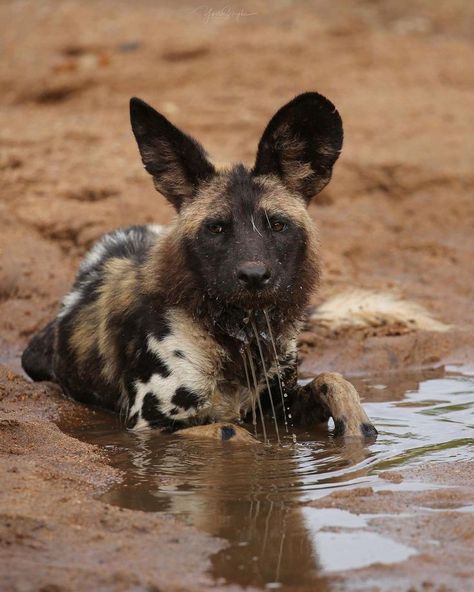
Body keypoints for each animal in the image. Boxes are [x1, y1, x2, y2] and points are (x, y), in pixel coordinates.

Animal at [22, 92, 378, 442]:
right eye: (216, 228)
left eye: (278, 225)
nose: (254, 276)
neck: (239, 336)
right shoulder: (152, 425)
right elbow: (232, 431)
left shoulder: (278, 406)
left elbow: (334, 381)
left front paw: (358, 430)